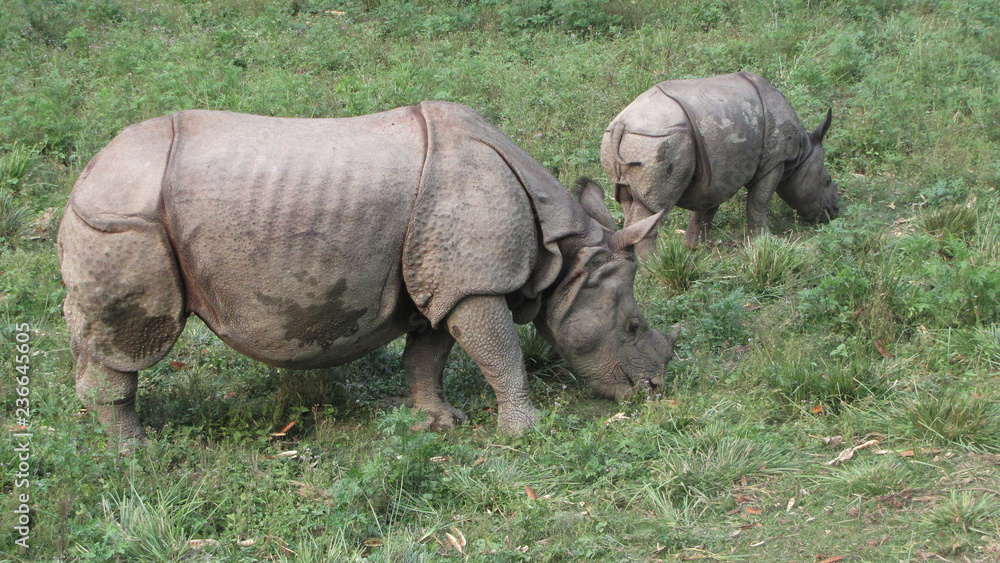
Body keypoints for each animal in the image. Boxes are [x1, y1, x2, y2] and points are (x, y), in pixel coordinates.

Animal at [57, 101, 680, 441]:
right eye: (630, 328)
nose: (654, 390)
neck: (563, 256)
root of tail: (84, 177)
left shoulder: (441, 281)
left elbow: (429, 355)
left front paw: (441, 422)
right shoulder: (473, 285)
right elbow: (502, 353)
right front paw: (526, 432)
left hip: (118, 213)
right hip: (124, 223)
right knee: (130, 344)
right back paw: (139, 453)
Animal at [602, 72, 838, 254]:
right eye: (827, 181)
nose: (835, 211)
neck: (801, 152)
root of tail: (622, 124)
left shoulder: (716, 174)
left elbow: (705, 209)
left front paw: (696, 249)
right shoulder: (774, 162)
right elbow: (759, 201)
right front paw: (766, 242)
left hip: (628, 141)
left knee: (630, 201)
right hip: (656, 139)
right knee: (656, 207)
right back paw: (656, 266)